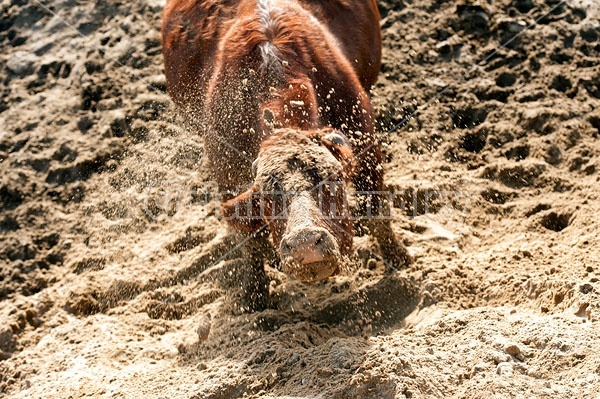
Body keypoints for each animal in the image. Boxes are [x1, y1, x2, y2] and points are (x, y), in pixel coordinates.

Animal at [162, 0, 410, 310]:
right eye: (269, 196)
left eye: (331, 180)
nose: (305, 242)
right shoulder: (227, 176)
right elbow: (249, 239)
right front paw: (255, 295)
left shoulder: (366, 145)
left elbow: (376, 208)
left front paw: (398, 257)